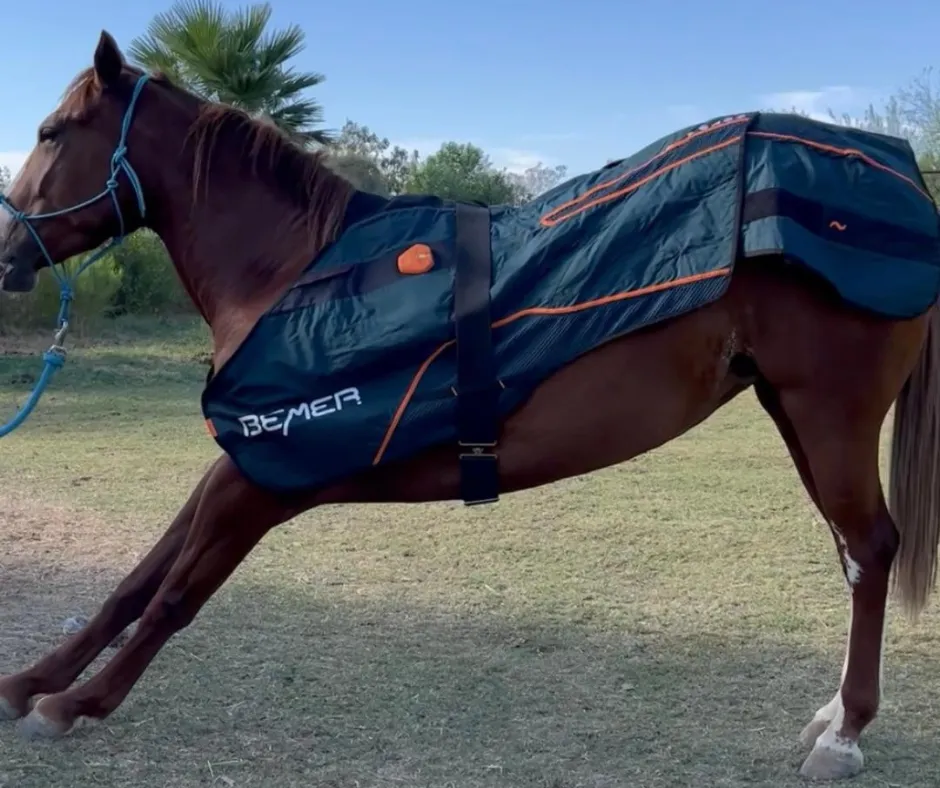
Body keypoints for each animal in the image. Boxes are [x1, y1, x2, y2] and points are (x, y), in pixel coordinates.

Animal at [1, 30, 940, 780]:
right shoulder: (238, 464)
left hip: (830, 417)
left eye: (51, 133)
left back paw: (845, 734)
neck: (293, 277)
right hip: (793, 414)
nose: (8, 247)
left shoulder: (262, 482)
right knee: (854, 555)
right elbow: (137, 579)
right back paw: (833, 714)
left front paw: (76, 704)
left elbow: (175, 596)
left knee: (871, 549)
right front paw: (29, 682)